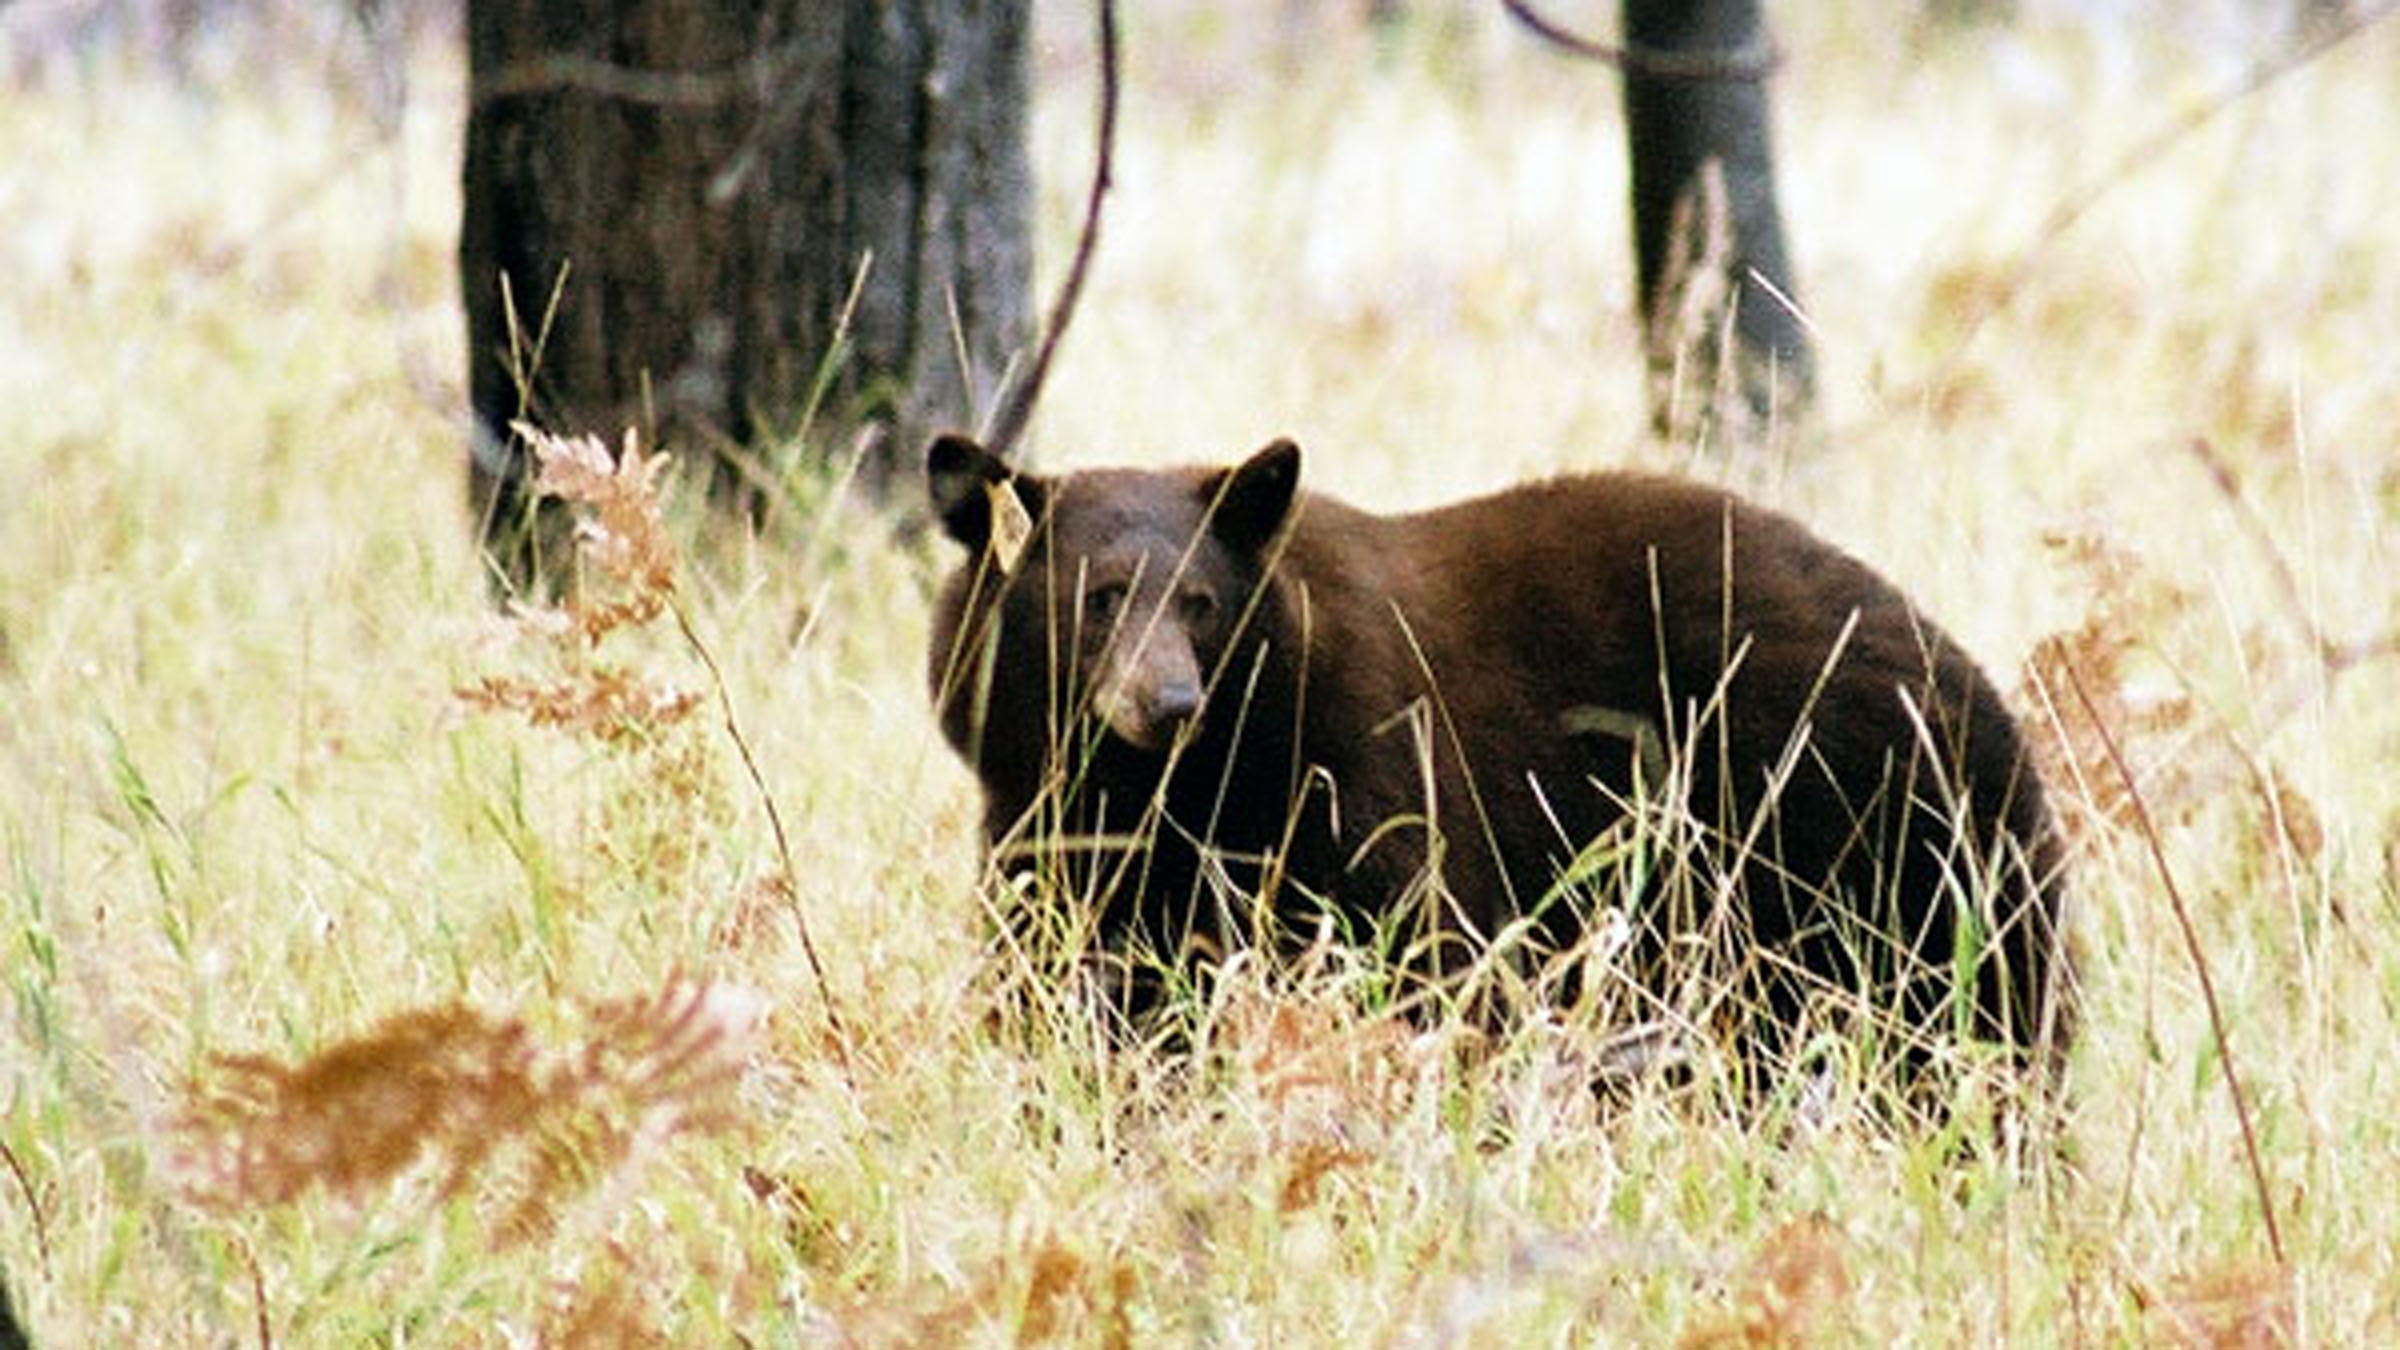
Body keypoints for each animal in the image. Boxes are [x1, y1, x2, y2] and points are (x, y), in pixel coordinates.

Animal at [925, 432, 2073, 1102]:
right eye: (1101, 596)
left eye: (1202, 602)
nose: (1168, 705)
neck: (1190, 786)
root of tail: (1965, 675)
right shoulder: (1053, 837)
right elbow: (1073, 986)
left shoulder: (1366, 773)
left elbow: (1423, 960)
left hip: (1873, 846)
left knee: (1968, 1018)